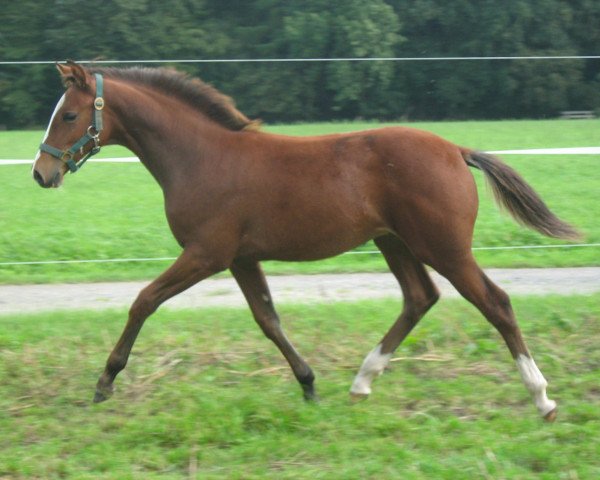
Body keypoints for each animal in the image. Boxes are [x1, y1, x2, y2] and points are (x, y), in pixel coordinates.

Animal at [30, 60, 580, 420]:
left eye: (70, 115)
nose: (41, 173)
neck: (201, 156)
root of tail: (455, 149)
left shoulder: (207, 253)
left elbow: (144, 301)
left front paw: (105, 382)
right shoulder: (240, 257)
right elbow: (268, 319)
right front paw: (310, 384)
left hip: (442, 246)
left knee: (495, 302)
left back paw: (542, 397)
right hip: (394, 242)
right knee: (420, 297)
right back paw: (361, 382)